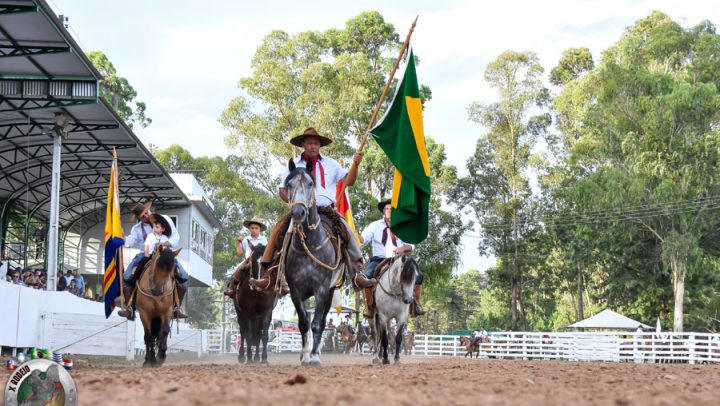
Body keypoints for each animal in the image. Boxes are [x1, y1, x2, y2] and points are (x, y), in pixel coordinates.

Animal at [282, 159, 344, 364]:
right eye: (288, 184)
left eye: (310, 183)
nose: (298, 212)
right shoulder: (295, 291)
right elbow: (303, 323)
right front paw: (304, 355)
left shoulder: (322, 290)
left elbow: (317, 324)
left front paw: (314, 356)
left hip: (331, 292)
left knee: (322, 322)